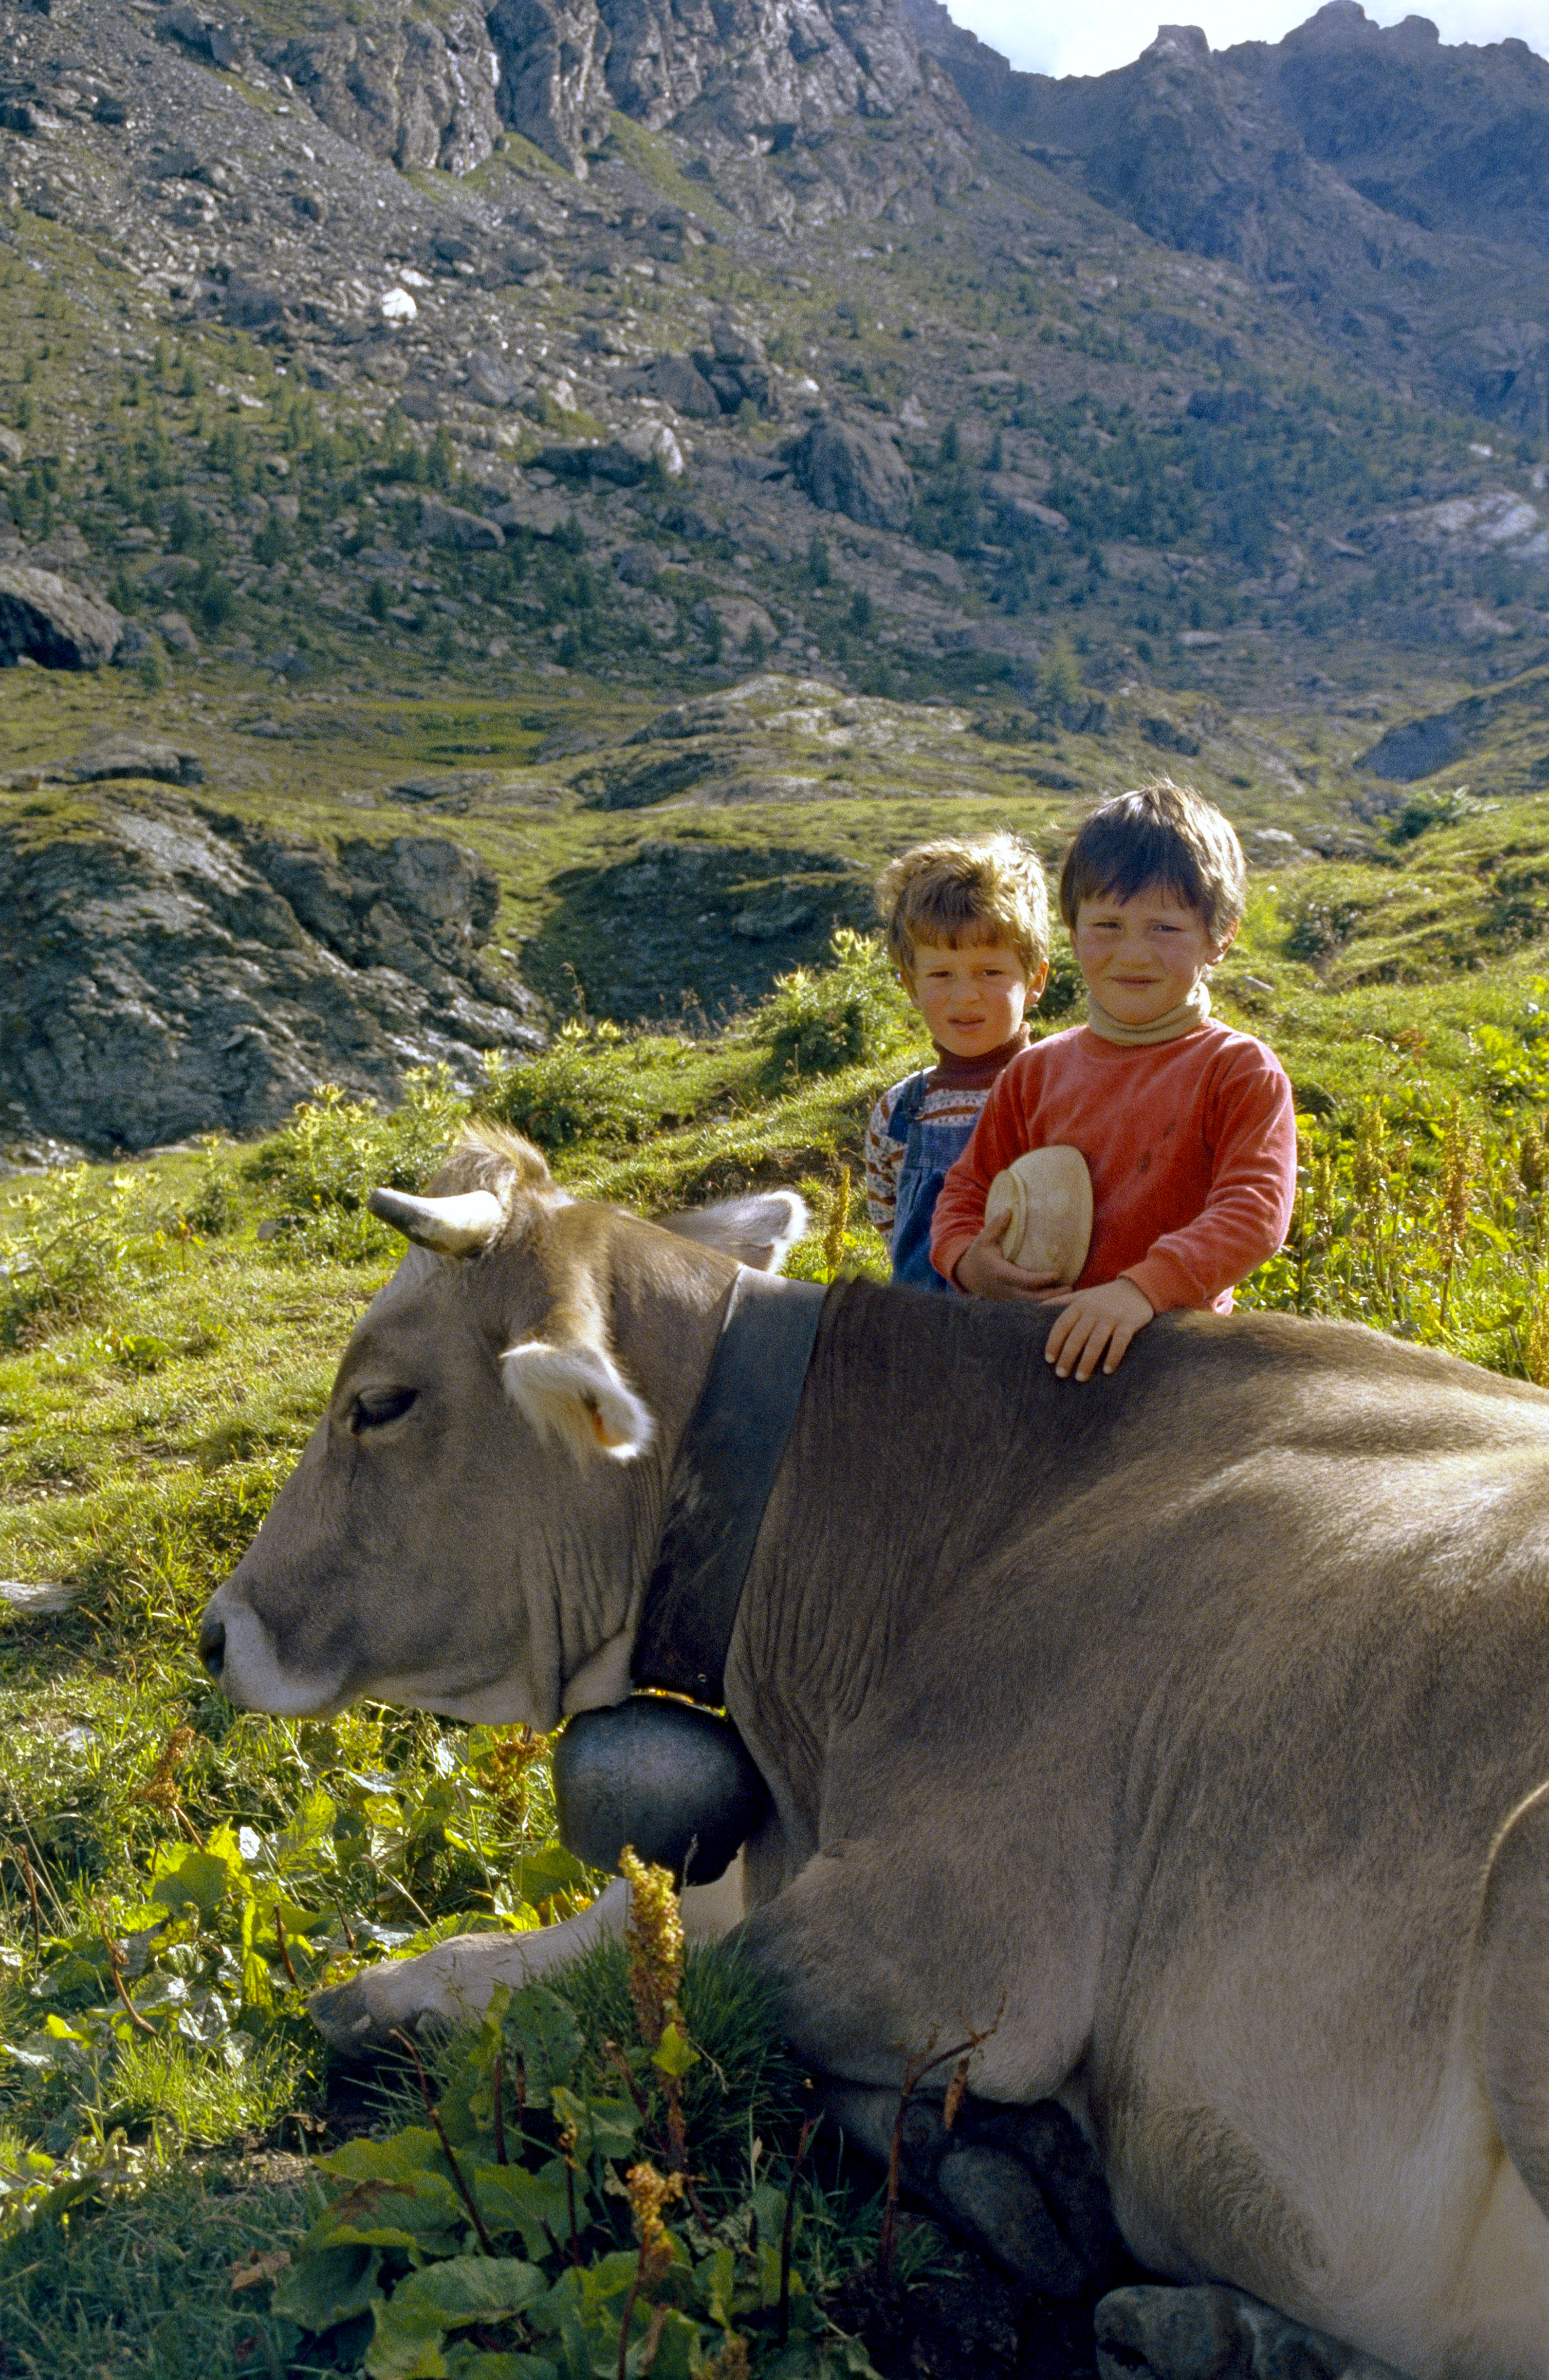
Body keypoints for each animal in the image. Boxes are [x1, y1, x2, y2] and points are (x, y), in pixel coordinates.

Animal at [197, 1123, 1549, 2370]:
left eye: (380, 1402)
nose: (219, 1631)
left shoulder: (954, 1928)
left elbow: (690, 1989)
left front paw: (1016, 2164)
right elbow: (632, 1935)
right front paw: (386, 1991)